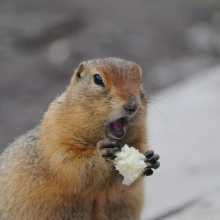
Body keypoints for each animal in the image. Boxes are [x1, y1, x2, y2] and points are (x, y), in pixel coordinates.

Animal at [0, 57, 159, 219]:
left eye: (140, 80)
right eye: (97, 79)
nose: (132, 105)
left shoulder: (140, 139)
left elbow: (121, 186)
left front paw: (151, 159)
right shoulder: (55, 134)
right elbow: (71, 165)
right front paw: (103, 151)